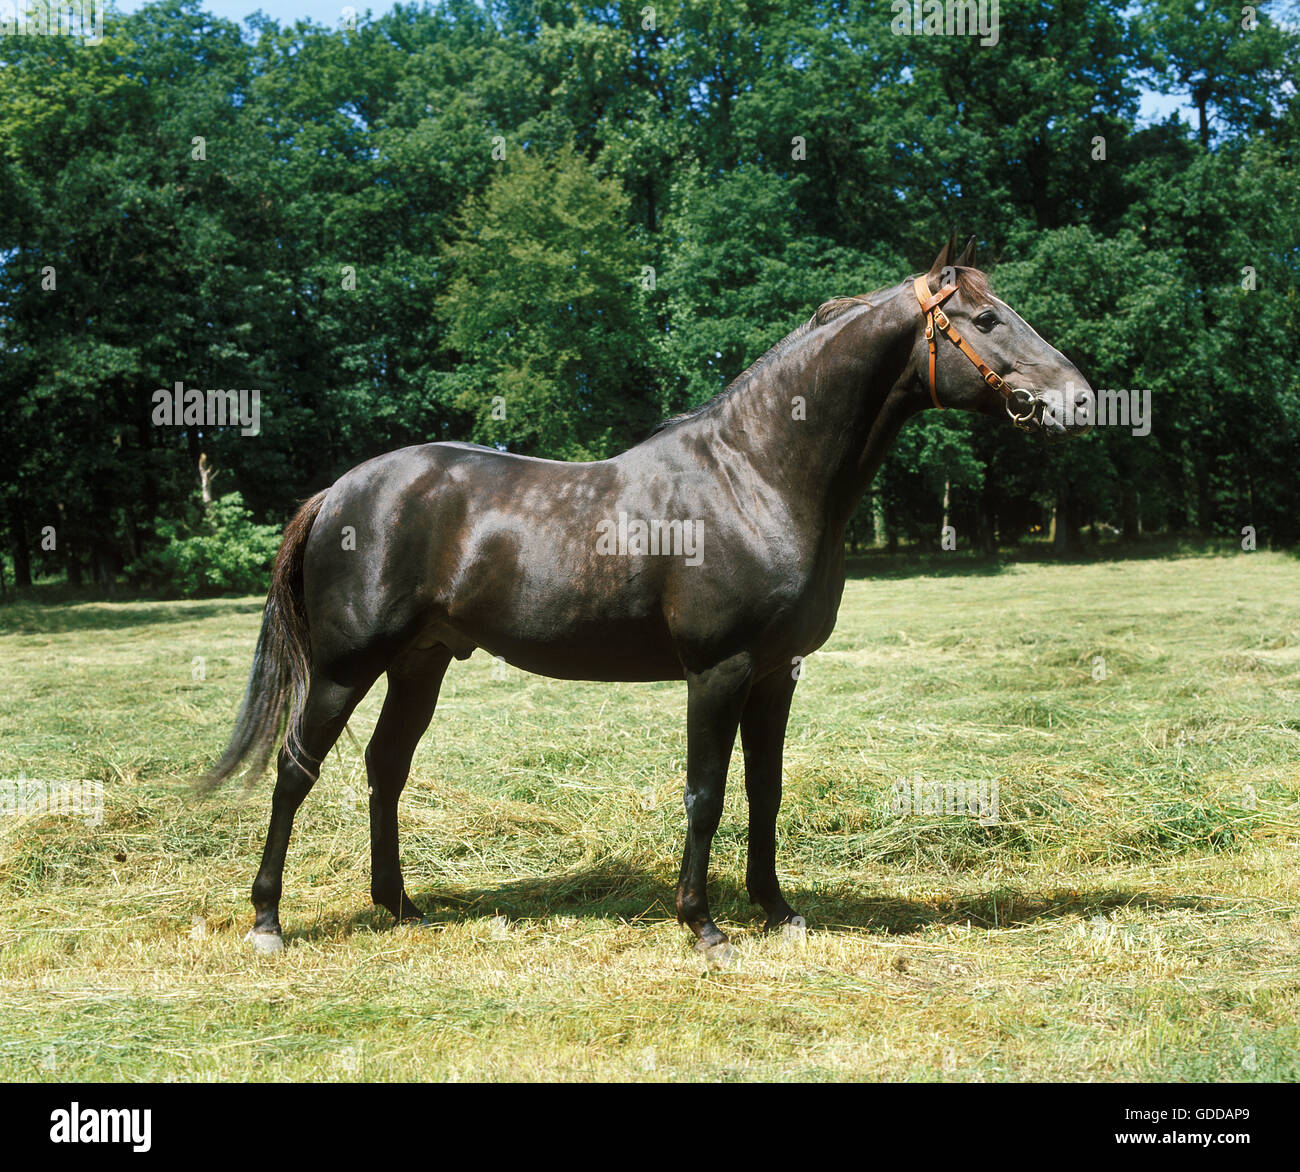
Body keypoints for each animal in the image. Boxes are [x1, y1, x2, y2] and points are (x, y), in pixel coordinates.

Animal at [202, 236, 1097, 961]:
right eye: (985, 318)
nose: (1080, 399)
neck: (756, 476)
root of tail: (340, 492)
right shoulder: (718, 670)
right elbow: (706, 793)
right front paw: (702, 924)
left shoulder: (777, 674)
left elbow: (765, 792)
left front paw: (778, 912)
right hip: (345, 668)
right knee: (295, 769)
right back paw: (268, 922)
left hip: (421, 662)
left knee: (386, 768)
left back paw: (401, 907)